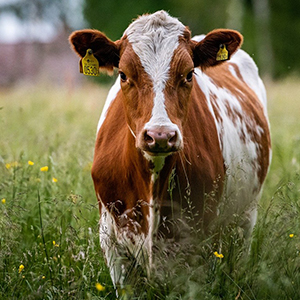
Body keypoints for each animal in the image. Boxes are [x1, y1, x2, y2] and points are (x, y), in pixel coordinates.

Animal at [69, 10, 270, 290]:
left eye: (189, 74)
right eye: (123, 74)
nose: (160, 135)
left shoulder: (198, 243)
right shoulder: (112, 242)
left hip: (245, 217)